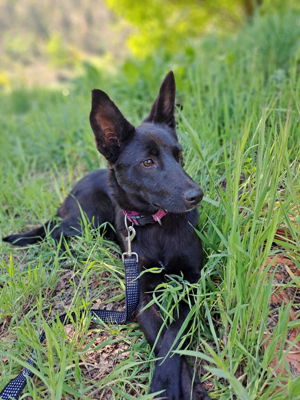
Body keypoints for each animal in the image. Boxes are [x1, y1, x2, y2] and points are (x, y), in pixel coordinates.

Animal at [4, 72, 211, 400]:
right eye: (148, 162)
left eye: (179, 156)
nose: (197, 196)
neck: (155, 226)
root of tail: (72, 190)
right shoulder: (141, 294)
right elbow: (163, 338)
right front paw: (169, 384)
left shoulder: (191, 281)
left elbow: (176, 331)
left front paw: (186, 385)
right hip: (87, 219)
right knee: (54, 233)